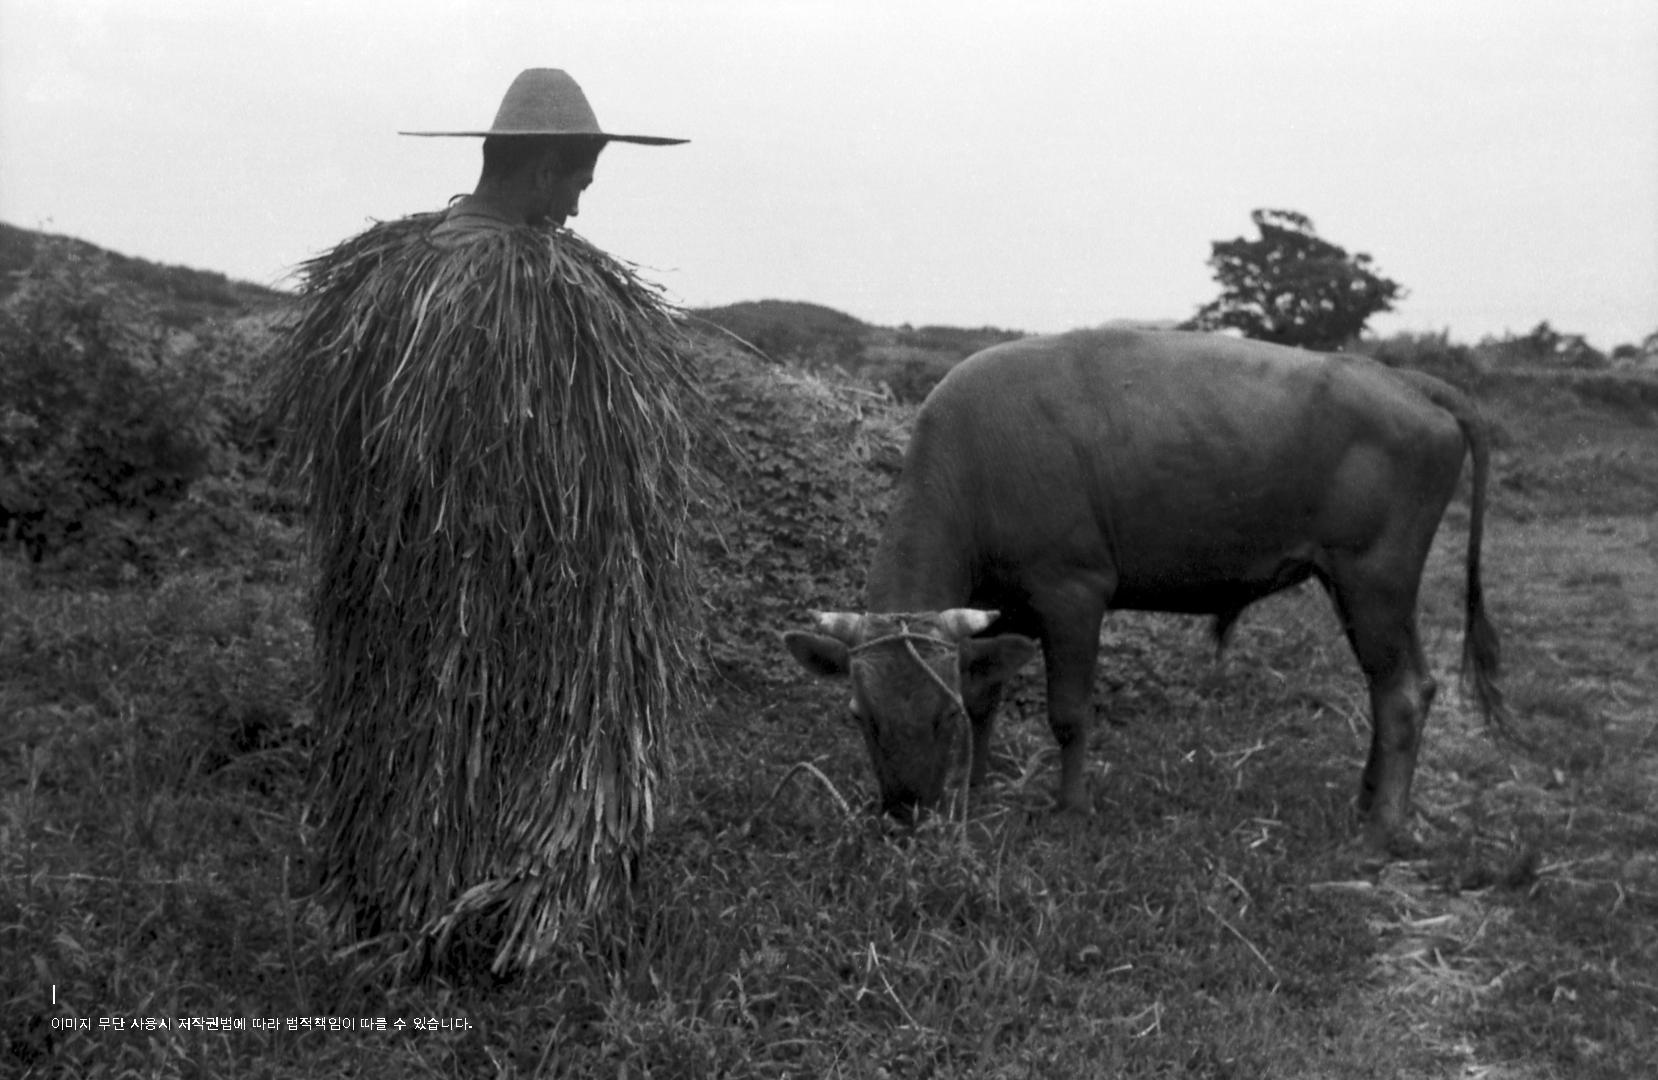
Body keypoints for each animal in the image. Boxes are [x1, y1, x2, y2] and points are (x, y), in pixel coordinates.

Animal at [783, 327, 1506, 852]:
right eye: (860, 717)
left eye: (938, 716)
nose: (905, 812)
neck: (977, 466)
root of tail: (1401, 379)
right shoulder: (997, 607)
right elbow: (987, 694)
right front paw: (975, 787)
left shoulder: (1072, 592)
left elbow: (1069, 714)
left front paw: (1071, 809)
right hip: (1355, 583)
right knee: (1393, 688)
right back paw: (1367, 798)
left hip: (1375, 576)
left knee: (1404, 691)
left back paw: (1381, 830)